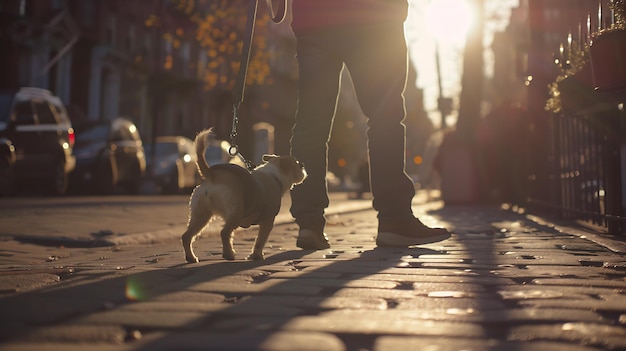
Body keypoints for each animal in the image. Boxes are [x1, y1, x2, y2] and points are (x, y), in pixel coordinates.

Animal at [179, 129, 306, 264]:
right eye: (297, 164)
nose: (303, 164)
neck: (274, 176)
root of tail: (212, 175)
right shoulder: (268, 220)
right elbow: (260, 241)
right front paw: (257, 256)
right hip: (235, 212)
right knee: (224, 232)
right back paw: (228, 254)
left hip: (201, 215)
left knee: (187, 236)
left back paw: (191, 257)